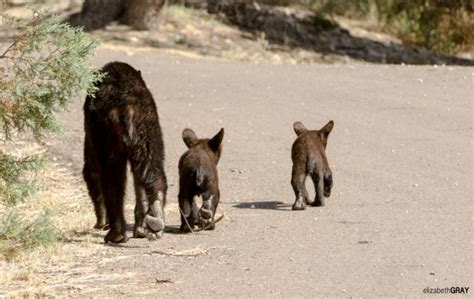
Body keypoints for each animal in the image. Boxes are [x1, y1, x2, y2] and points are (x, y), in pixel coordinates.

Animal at [82, 61, 168, 244]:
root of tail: (128, 107)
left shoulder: (92, 129)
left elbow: (91, 171)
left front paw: (100, 223)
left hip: (107, 133)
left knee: (110, 176)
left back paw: (116, 234)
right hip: (149, 130)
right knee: (150, 167)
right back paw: (155, 214)